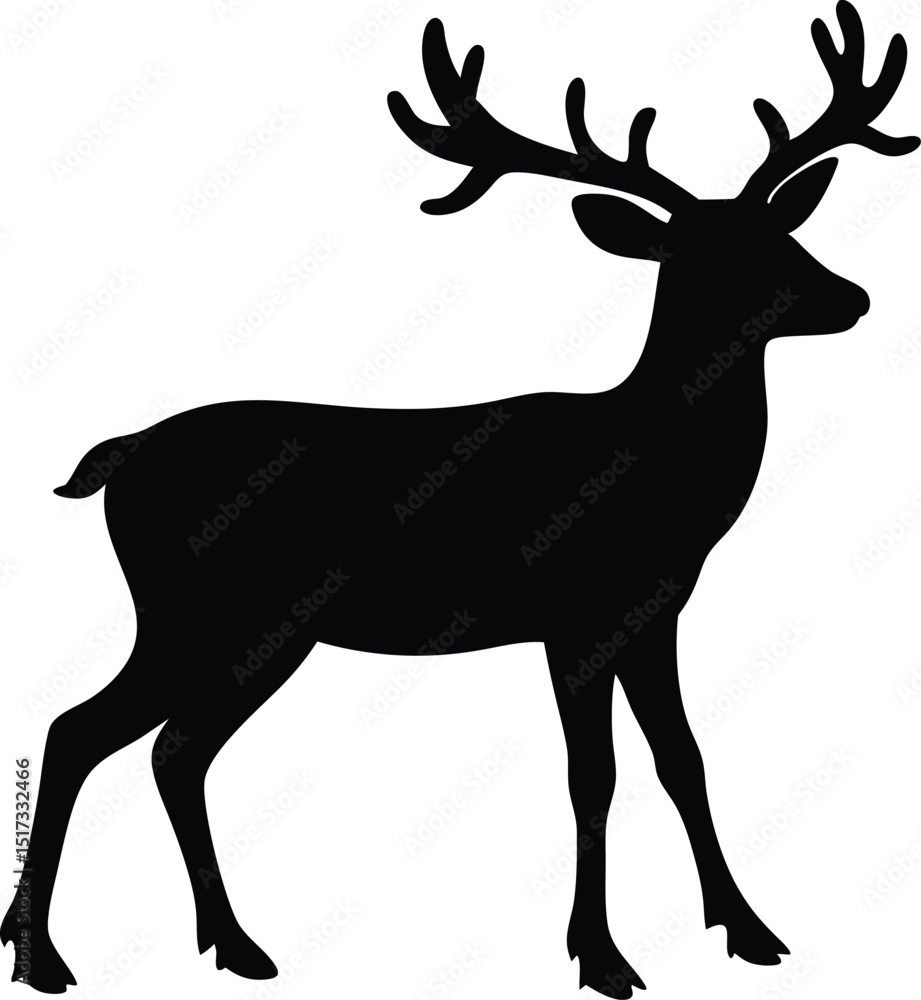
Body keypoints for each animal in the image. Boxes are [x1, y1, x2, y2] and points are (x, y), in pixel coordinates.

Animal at [3, 3, 917, 996]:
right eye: (711, 256)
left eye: (781, 231)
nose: (852, 296)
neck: (660, 474)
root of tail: (118, 457)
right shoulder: (575, 614)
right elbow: (591, 775)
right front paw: (601, 957)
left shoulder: (653, 613)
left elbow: (683, 759)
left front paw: (748, 930)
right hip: (197, 611)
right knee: (82, 729)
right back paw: (47, 954)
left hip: (251, 631)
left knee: (170, 749)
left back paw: (229, 945)